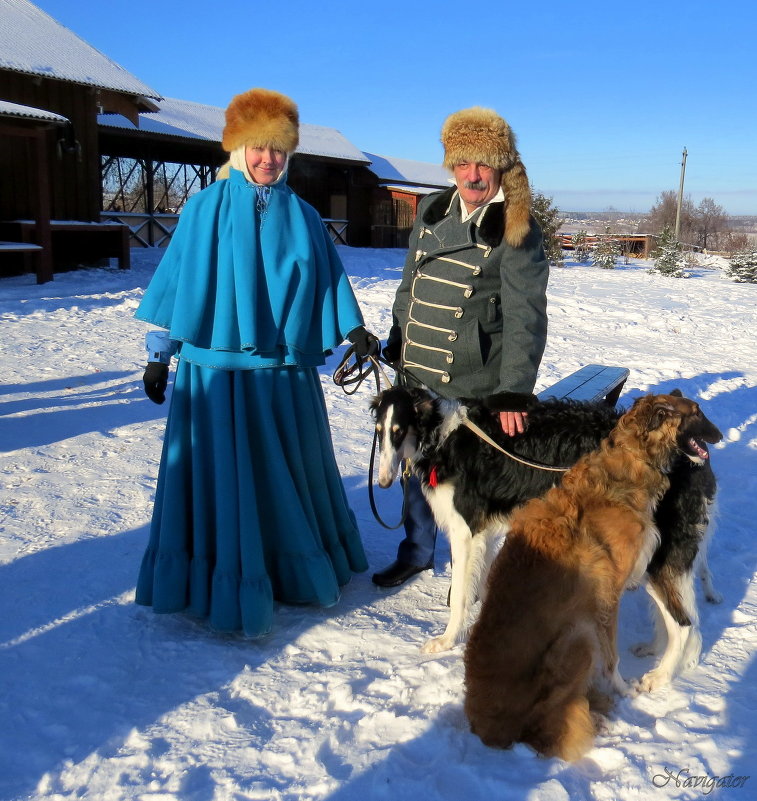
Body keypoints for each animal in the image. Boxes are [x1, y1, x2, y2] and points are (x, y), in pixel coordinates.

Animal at [460, 394, 720, 764]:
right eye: (696, 413)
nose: (719, 436)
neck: (624, 468)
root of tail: (490, 730)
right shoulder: (608, 595)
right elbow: (612, 660)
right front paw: (625, 691)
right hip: (579, 637)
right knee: (680, 626)